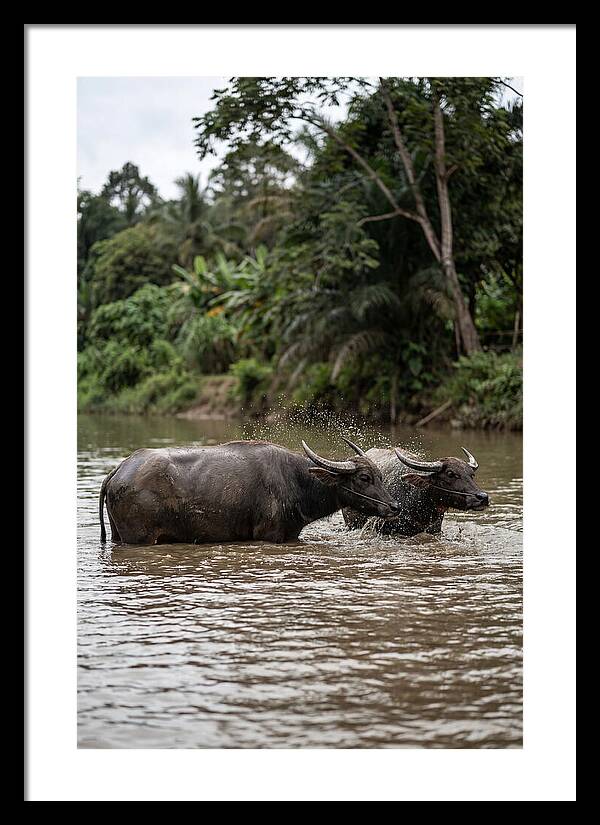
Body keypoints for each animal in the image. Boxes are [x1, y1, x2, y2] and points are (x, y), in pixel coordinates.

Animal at [99, 437, 400, 545]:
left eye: (380, 476)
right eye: (364, 477)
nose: (394, 506)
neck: (296, 481)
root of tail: (119, 470)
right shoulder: (269, 534)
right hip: (140, 538)